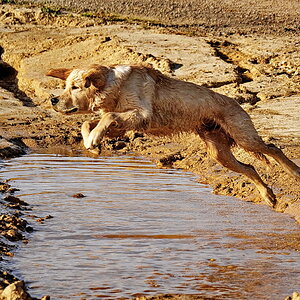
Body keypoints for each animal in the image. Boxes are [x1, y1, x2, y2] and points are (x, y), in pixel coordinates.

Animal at [46, 64, 300, 207]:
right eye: (66, 86)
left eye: (75, 87)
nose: (53, 99)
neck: (114, 87)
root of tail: (235, 101)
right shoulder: (124, 123)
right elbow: (88, 122)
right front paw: (91, 141)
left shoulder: (141, 114)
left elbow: (106, 117)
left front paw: (95, 139)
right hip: (219, 153)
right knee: (250, 168)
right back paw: (268, 195)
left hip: (245, 137)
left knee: (273, 148)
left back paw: (294, 172)